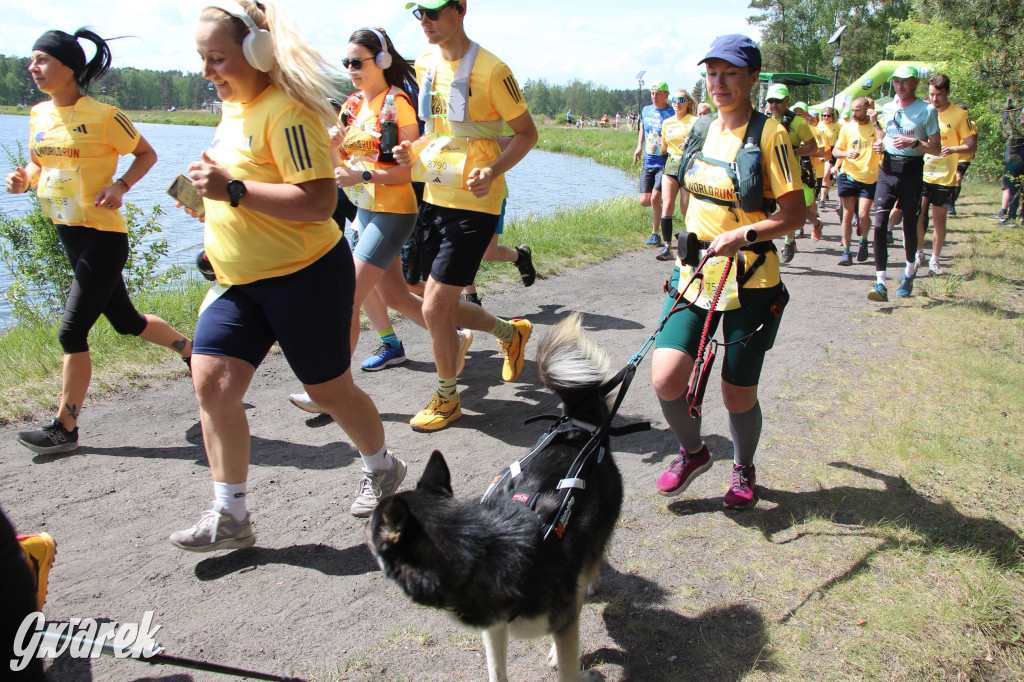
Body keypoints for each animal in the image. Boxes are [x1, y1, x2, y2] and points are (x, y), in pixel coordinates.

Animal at [368, 313, 622, 679]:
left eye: (373, 529)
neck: (479, 555)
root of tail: (577, 429)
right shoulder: (495, 628)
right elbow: (497, 671)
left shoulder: (562, 623)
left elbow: (568, 664)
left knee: (591, 562)